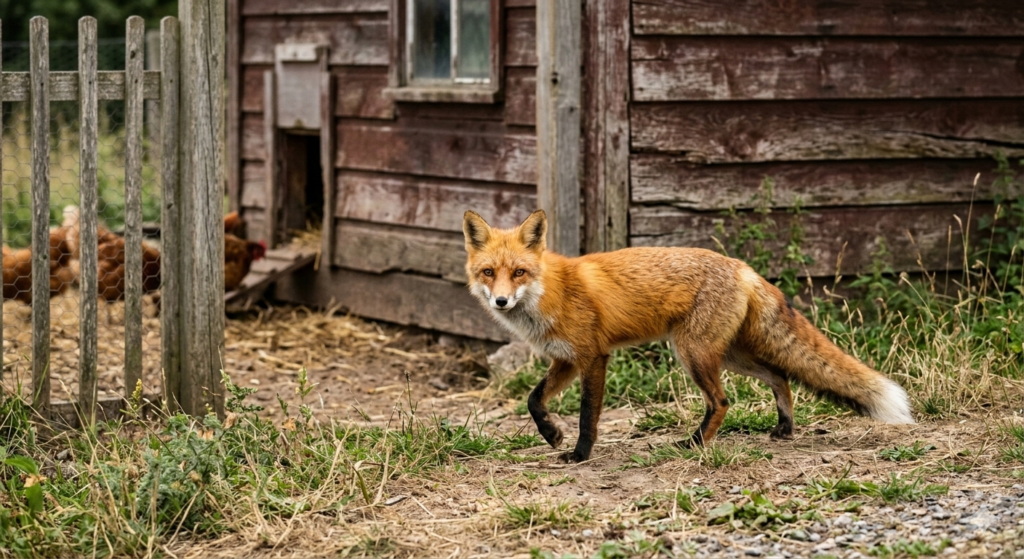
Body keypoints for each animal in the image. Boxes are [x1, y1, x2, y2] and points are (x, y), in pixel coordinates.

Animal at [463, 209, 914, 463]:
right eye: (489, 272)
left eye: (519, 272)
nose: (501, 301)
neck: (550, 292)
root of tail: (742, 266)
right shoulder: (566, 359)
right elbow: (533, 399)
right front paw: (552, 434)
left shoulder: (593, 357)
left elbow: (588, 415)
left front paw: (579, 454)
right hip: (728, 355)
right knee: (780, 376)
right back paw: (784, 428)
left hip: (693, 354)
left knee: (723, 401)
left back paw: (695, 444)